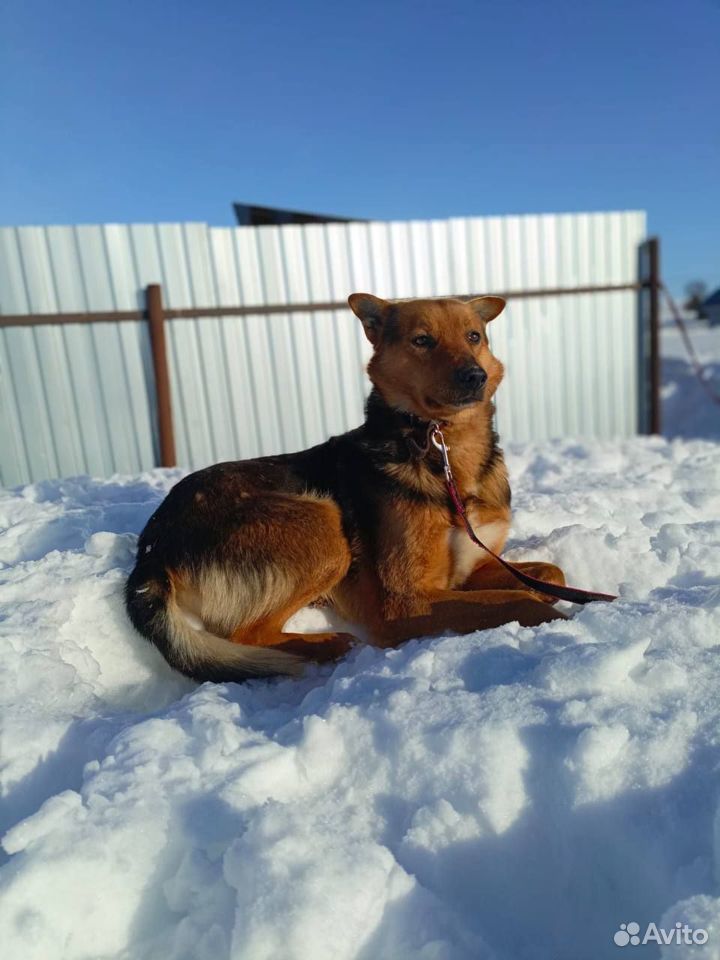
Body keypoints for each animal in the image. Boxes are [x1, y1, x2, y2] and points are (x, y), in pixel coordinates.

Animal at [128, 294, 568, 684]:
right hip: (323, 525)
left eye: (474, 336)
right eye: (422, 340)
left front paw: (551, 593)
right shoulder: (405, 603)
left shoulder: (467, 570)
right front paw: (562, 619)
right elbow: (514, 600)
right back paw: (329, 643)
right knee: (245, 635)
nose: (475, 376)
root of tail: (152, 547)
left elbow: (551, 572)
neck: (443, 451)